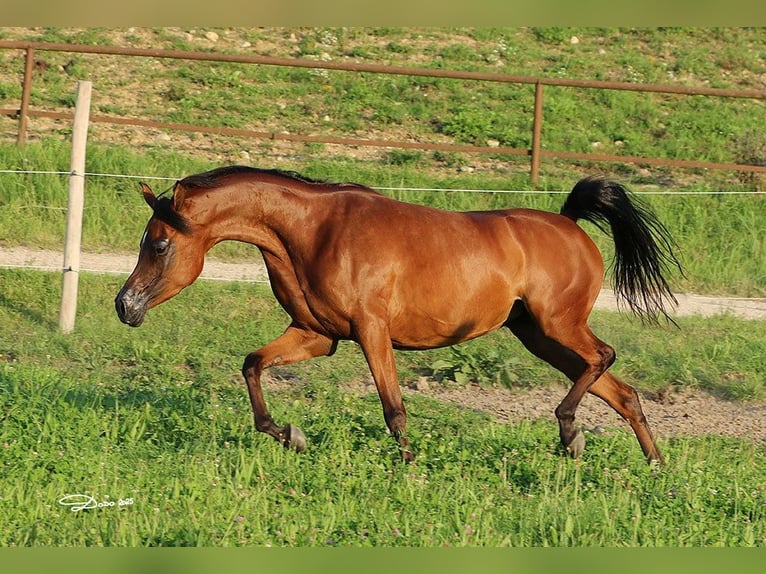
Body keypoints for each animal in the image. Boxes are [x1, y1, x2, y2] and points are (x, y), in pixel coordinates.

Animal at [115, 166, 682, 464]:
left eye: (159, 245)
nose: (125, 305)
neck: (313, 231)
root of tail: (570, 224)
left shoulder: (372, 330)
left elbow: (393, 409)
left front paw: (410, 467)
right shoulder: (317, 334)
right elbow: (252, 364)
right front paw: (291, 436)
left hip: (559, 325)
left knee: (604, 356)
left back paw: (569, 430)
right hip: (537, 336)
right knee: (622, 391)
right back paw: (652, 466)